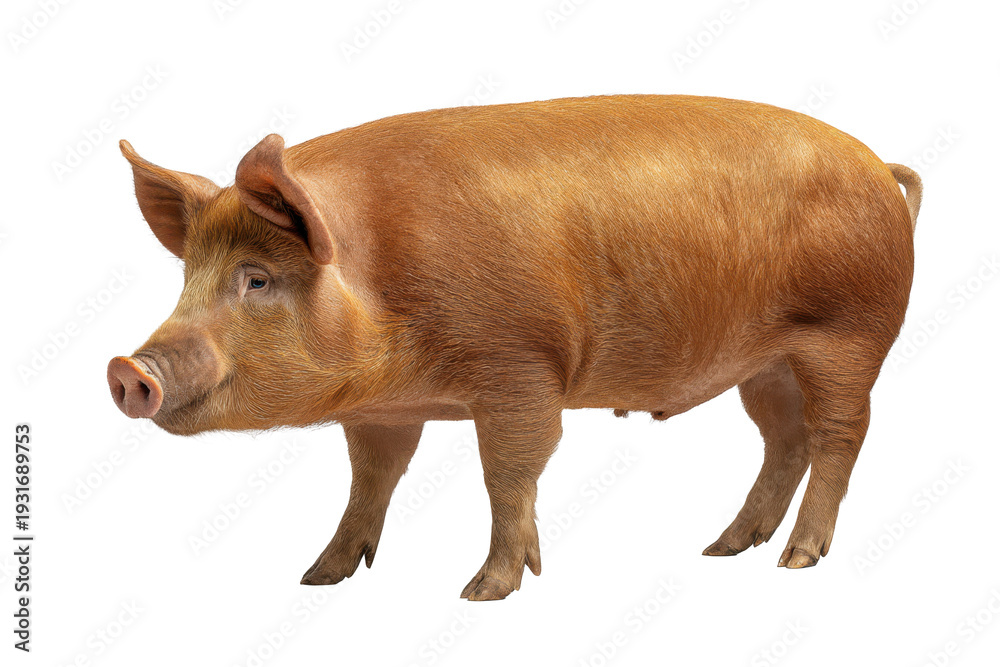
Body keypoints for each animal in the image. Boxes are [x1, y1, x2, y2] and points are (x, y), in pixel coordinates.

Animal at [108, 94, 922, 600]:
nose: (126, 368)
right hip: (767, 362)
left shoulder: (520, 365)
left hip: (847, 334)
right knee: (784, 439)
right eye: (189, 276)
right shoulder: (384, 408)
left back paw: (796, 557)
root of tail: (881, 168)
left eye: (257, 278)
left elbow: (509, 472)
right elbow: (372, 478)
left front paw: (483, 590)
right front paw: (318, 576)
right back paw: (725, 547)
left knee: (841, 434)